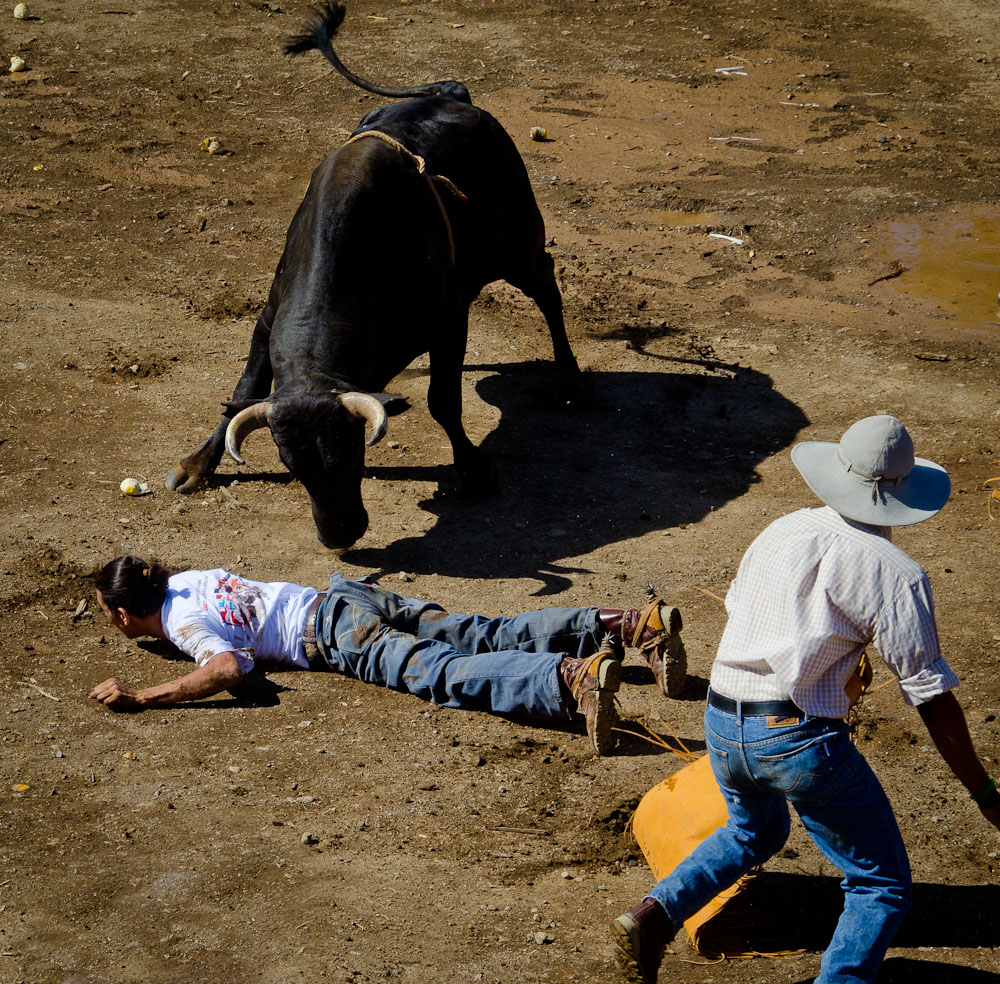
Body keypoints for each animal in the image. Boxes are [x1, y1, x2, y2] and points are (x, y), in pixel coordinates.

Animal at [166, 5, 580, 544]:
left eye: (352, 454)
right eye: (291, 465)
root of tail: (453, 95)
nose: (340, 535)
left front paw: (474, 471)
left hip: (519, 244)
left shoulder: (449, 321)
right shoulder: (266, 317)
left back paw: (570, 379)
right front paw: (198, 463)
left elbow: (443, 401)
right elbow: (242, 393)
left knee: (546, 287)